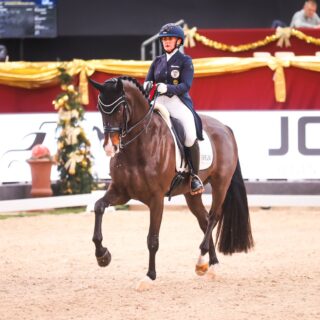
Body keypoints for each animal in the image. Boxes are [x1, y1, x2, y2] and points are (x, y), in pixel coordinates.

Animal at [89, 76, 254, 292]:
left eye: (119, 108)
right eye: (100, 108)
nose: (110, 147)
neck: (139, 144)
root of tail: (224, 127)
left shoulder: (156, 198)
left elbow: (152, 239)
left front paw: (149, 277)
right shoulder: (120, 192)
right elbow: (99, 206)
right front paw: (102, 256)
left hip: (221, 184)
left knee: (213, 217)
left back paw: (201, 261)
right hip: (191, 193)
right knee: (204, 220)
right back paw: (211, 264)